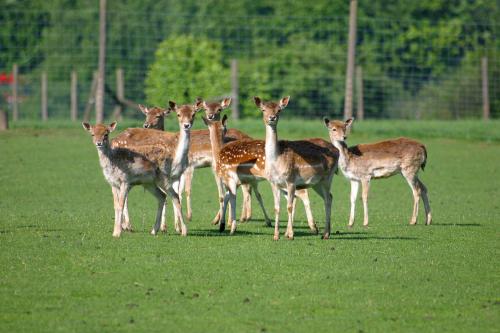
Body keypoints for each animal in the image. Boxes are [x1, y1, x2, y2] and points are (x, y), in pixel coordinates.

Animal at [256, 95, 338, 239]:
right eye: (263, 109)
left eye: (279, 110)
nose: (272, 117)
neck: (276, 160)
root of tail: (338, 150)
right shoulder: (273, 183)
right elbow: (276, 208)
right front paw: (276, 236)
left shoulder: (291, 181)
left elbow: (289, 206)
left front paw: (290, 235)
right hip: (317, 183)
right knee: (329, 197)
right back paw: (325, 232)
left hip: (328, 177)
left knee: (328, 199)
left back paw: (325, 234)